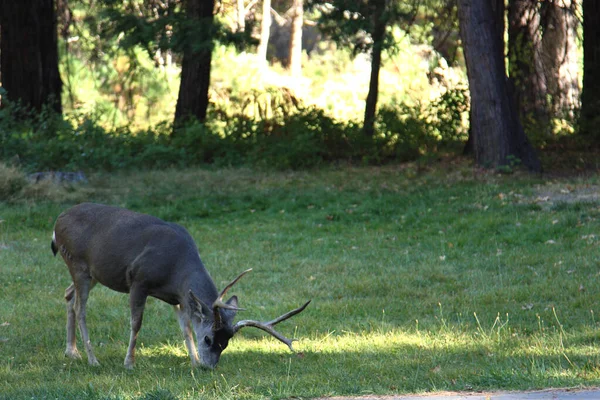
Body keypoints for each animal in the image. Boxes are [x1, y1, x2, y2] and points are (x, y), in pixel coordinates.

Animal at [51, 203, 310, 368]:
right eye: (209, 340)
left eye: (226, 343)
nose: (209, 367)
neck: (175, 269)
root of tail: (57, 221)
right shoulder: (138, 280)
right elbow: (136, 323)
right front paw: (129, 363)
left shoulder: (179, 297)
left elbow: (185, 328)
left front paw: (193, 361)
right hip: (78, 264)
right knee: (80, 308)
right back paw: (92, 359)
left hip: (94, 272)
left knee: (68, 294)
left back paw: (72, 352)